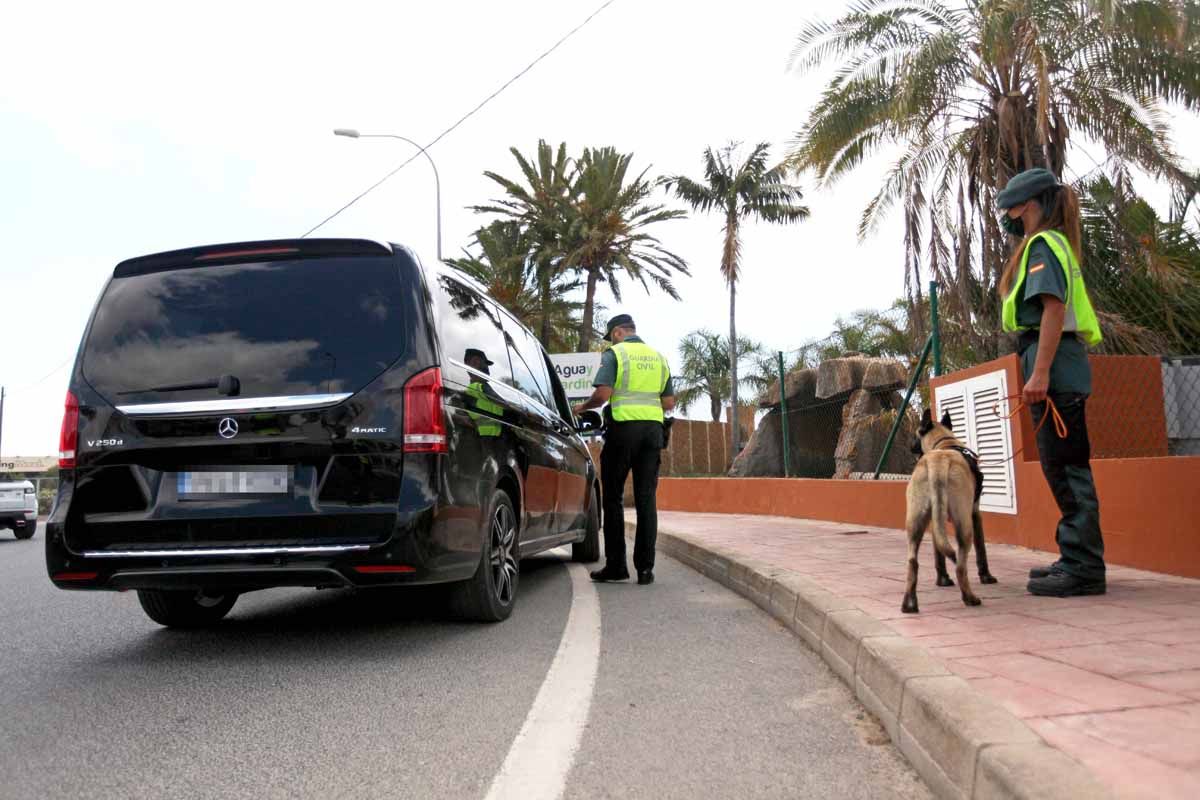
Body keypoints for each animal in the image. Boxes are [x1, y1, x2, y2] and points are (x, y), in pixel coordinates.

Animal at [902, 410, 993, 618]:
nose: (910, 445)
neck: (943, 443)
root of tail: (938, 461)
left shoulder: (935, 521)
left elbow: (938, 552)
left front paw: (942, 579)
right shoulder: (975, 514)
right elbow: (981, 550)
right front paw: (986, 576)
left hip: (915, 523)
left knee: (913, 562)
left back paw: (909, 604)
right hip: (964, 524)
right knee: (960, 566)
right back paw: (970, 598)